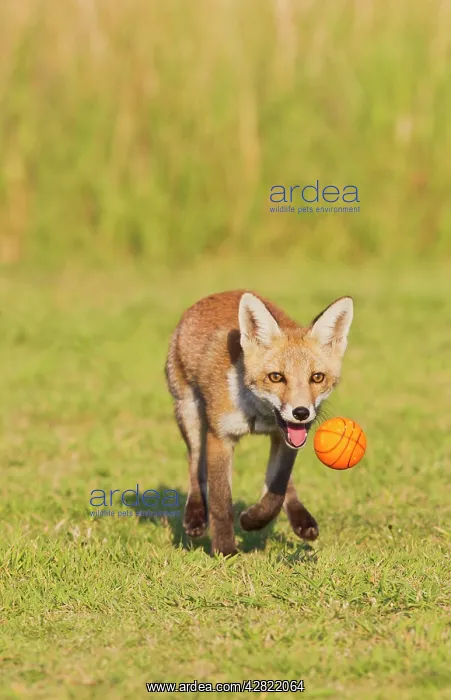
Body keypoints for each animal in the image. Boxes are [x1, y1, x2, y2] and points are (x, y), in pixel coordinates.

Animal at [165, 290, 353, 556]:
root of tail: (217, 294)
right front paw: (225, 550)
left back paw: (300, 518)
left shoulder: (285, 441)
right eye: (276, 377)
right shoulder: (219, 436)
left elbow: (276, 492)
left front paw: (252, 519)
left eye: (317, 378)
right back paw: (195, 516)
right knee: (195, 466)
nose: (301, 413)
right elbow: (221, 501)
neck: (258, 414)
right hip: (189, 414)